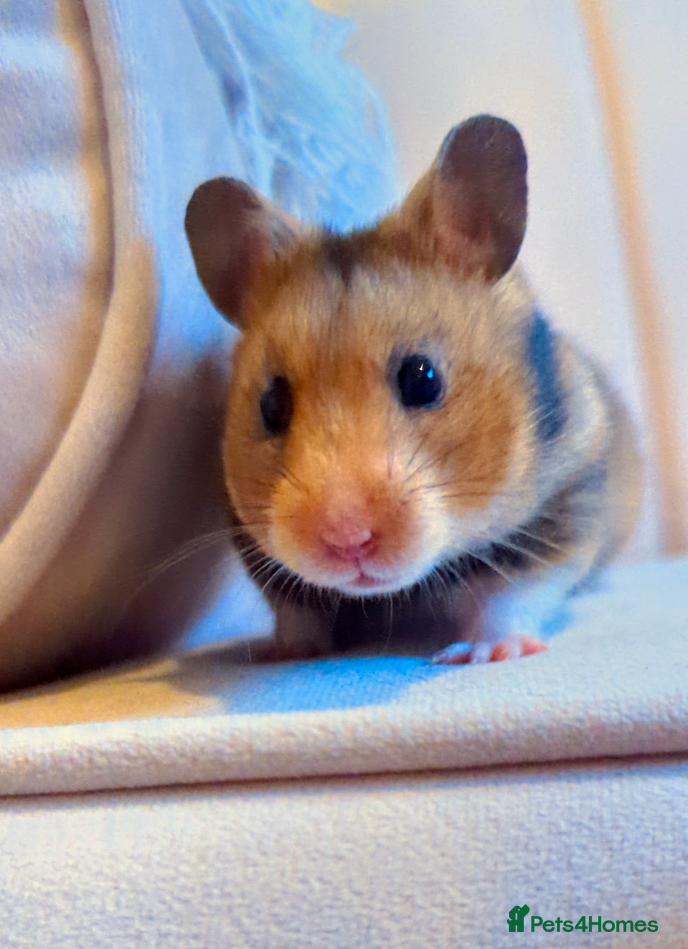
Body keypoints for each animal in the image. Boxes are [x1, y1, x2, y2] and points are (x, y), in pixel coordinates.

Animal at [185, 114, 641, 664]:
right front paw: (284, 653)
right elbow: (296, 612)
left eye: (422, 379)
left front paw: (488, 652)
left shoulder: (565, 503)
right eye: (271, 405)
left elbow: (509, 595)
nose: (347, 540)